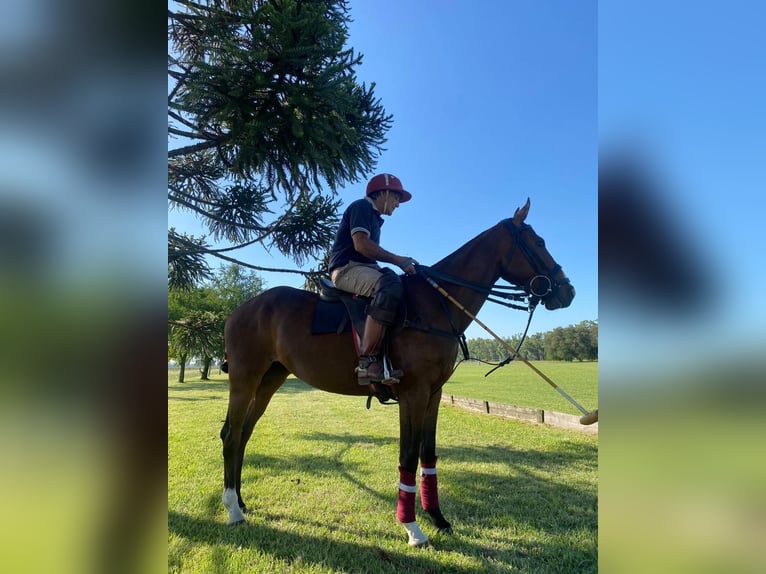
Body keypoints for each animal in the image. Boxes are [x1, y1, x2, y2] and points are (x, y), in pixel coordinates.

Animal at [220, 200, 576, 548]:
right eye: (539, 242)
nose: (568, 292)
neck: (435, 304)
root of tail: (238, 310)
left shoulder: (433, 393)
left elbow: (428, 454)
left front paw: (438, 518)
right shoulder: (412, 393)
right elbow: (408, 456)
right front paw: (412, 528)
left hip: (271, 378)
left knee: (245, 433)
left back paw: (241, 500)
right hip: (244, 377)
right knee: (231, 434)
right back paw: (233, 510)